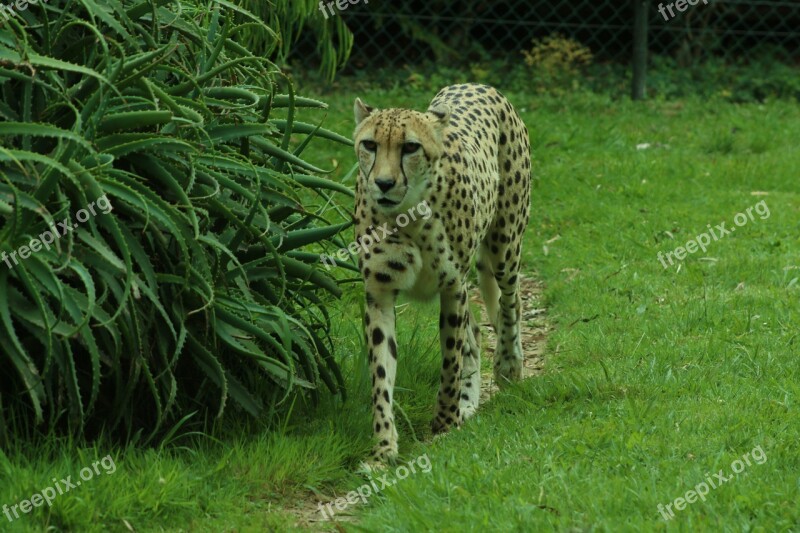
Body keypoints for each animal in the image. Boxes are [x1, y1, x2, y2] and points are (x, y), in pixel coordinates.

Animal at [352, 83, 532, 462]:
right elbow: (381, 375)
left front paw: (445, 421)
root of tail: (477, 85)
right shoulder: (378, 294)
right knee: (476, 331)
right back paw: (469, 401)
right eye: (370, 144)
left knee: (510, 304)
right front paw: (384, 448)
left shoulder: (452, 287)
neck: (407, 217)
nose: (384, 183)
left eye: (410, 147)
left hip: (504, 245)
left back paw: (508, 365)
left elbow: (450, 359)